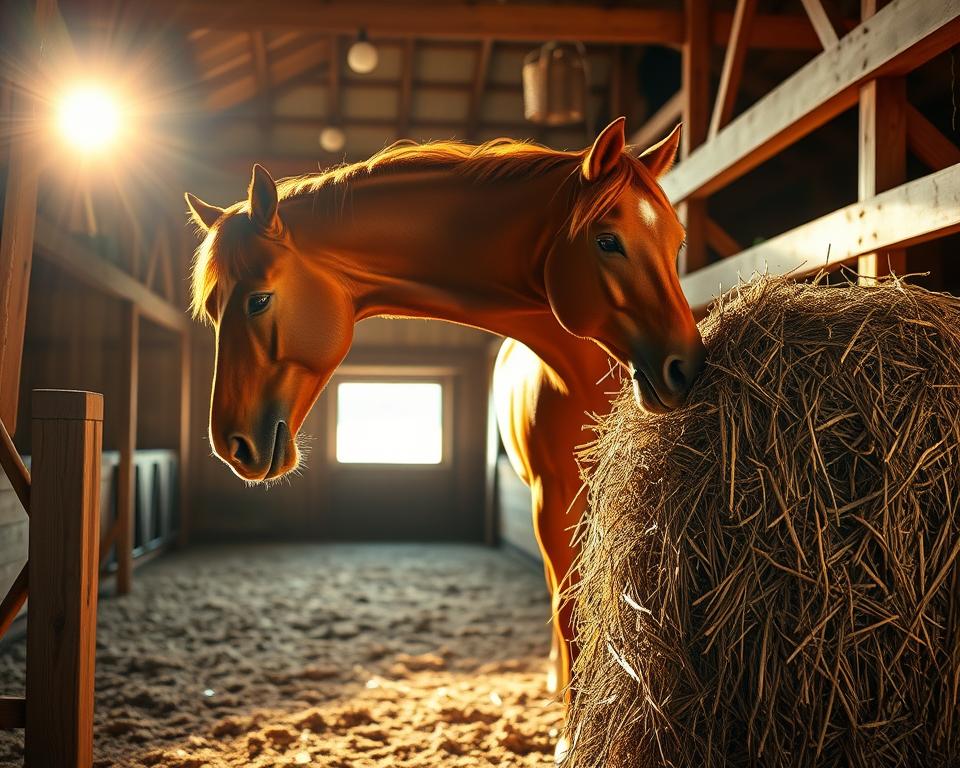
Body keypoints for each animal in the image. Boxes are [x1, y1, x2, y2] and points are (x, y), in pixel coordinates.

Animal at [185, 117, 705, 749]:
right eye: (607, 241)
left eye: (259, 299)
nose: (231, 442)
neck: (583, 369)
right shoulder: (552, 495)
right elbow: (568, 601)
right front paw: (570, 728)